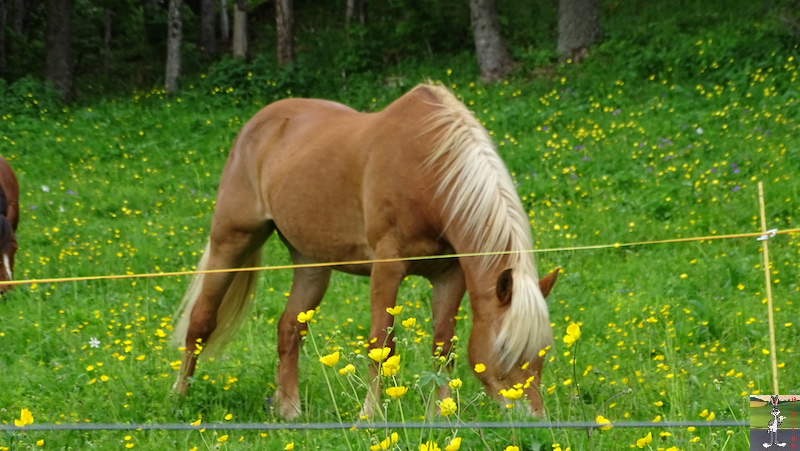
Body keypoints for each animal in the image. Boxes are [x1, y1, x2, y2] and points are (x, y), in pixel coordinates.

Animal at [170, 84, 556, 420]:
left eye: (542, 352)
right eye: (505, 349)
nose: (534, 417)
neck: (428, 172)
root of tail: (258, 124)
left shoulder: (450, 275)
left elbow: (442, 346)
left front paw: (442, 413)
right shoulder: (387, 267)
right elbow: (381, 343)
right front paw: (371, 413)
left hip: (311, 263)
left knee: (289, 328)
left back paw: (289, 409)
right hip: (232, 241)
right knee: (202, 321)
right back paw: (180, 397)